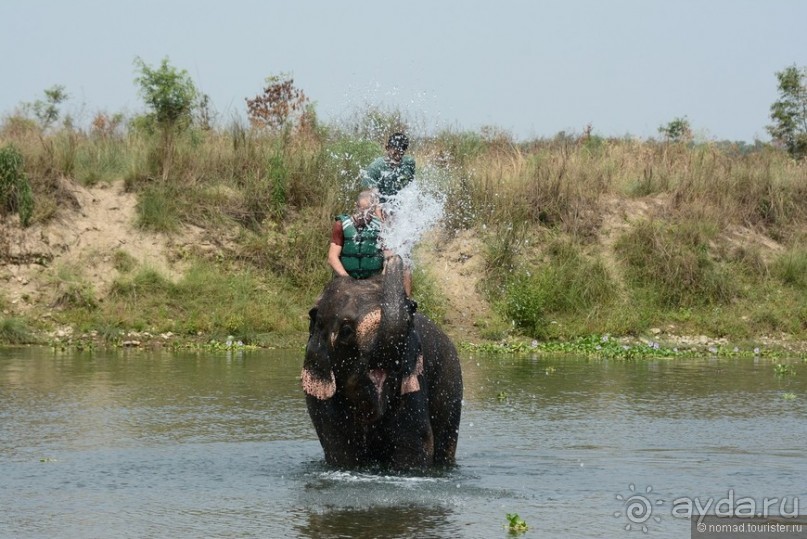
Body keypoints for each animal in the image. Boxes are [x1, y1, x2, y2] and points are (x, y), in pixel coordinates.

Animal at [302, 255, 468, 470]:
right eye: (346, 331)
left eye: (409, 323)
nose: (393, 258)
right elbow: (340, 449)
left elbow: (414, 444)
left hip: (451, 377)